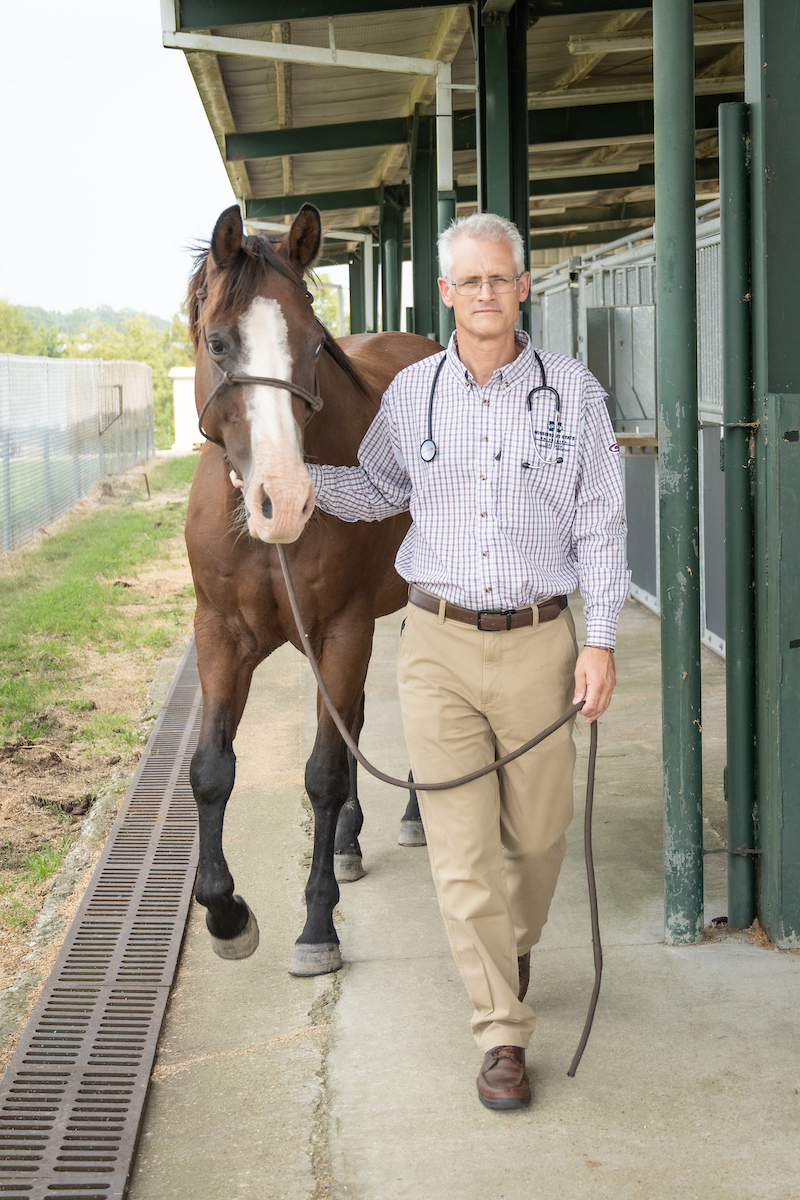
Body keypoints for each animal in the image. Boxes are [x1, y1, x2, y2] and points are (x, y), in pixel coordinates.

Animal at [185, 203, 439, 975]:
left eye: (313, 343)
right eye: (218, 340)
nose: (286, 501)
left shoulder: (342, 629)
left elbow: (323, 771)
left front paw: (317, 927)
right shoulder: (220, 634)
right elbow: (211, 770)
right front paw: (227, 915)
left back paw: (413, 815)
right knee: (353, 716)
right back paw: (352, 840)